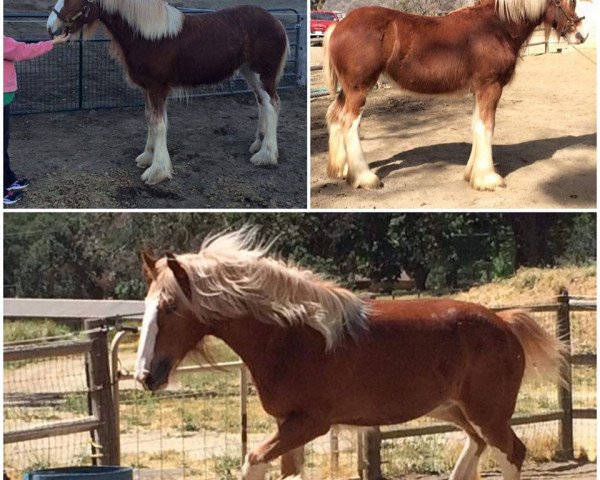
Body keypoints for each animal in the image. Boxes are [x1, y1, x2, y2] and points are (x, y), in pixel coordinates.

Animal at [324, 0, 584, 191]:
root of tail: (339, 26)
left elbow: (477, 126)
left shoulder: (479, 90)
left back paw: (342, 170)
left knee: (335, 117)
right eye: (564, 2)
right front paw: (488, 179)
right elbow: (487, 127)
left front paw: (472, 174)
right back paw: (365, 178)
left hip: (347, 90)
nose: (580, 35)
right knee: (349, 124)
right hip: (360, 89)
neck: (496, 27)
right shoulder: (491, 87)